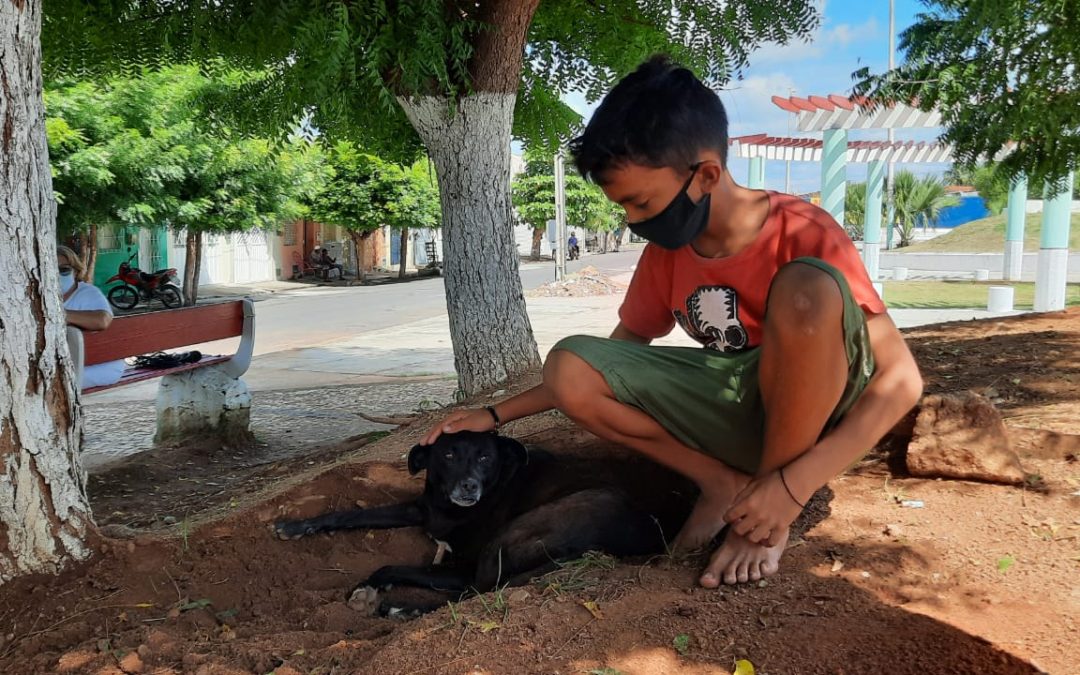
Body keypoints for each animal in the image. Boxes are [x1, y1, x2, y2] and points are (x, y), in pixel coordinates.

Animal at [272, 432, 691, 617]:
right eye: (448, 454)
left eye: (486, 457)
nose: (469, 486)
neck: (453, 508)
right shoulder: (422, 510)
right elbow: (351, 514)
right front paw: (296, 526)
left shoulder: (460, 564)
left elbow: (392, 565)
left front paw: (370, 588)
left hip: (514, 536)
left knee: (478, 591)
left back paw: (402, 610)